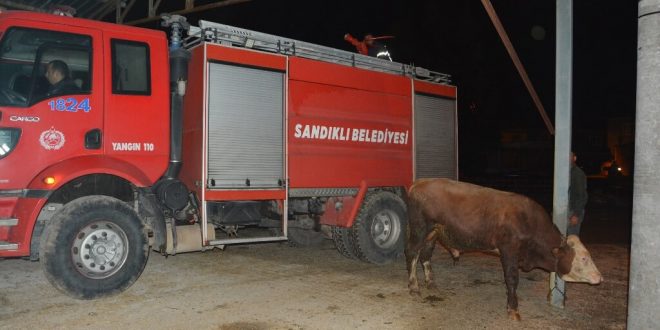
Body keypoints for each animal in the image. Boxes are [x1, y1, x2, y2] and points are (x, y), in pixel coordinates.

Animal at [404, 179, 600, 320]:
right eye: (583, 258)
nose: (599, 277)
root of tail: (419, 183)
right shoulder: (509, 251)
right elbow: (512, 279)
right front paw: (513, 309)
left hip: (433, 233)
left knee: (425, 255)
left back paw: (431, 283)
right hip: (420, 228)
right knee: (412, 253)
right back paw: (414, 287)